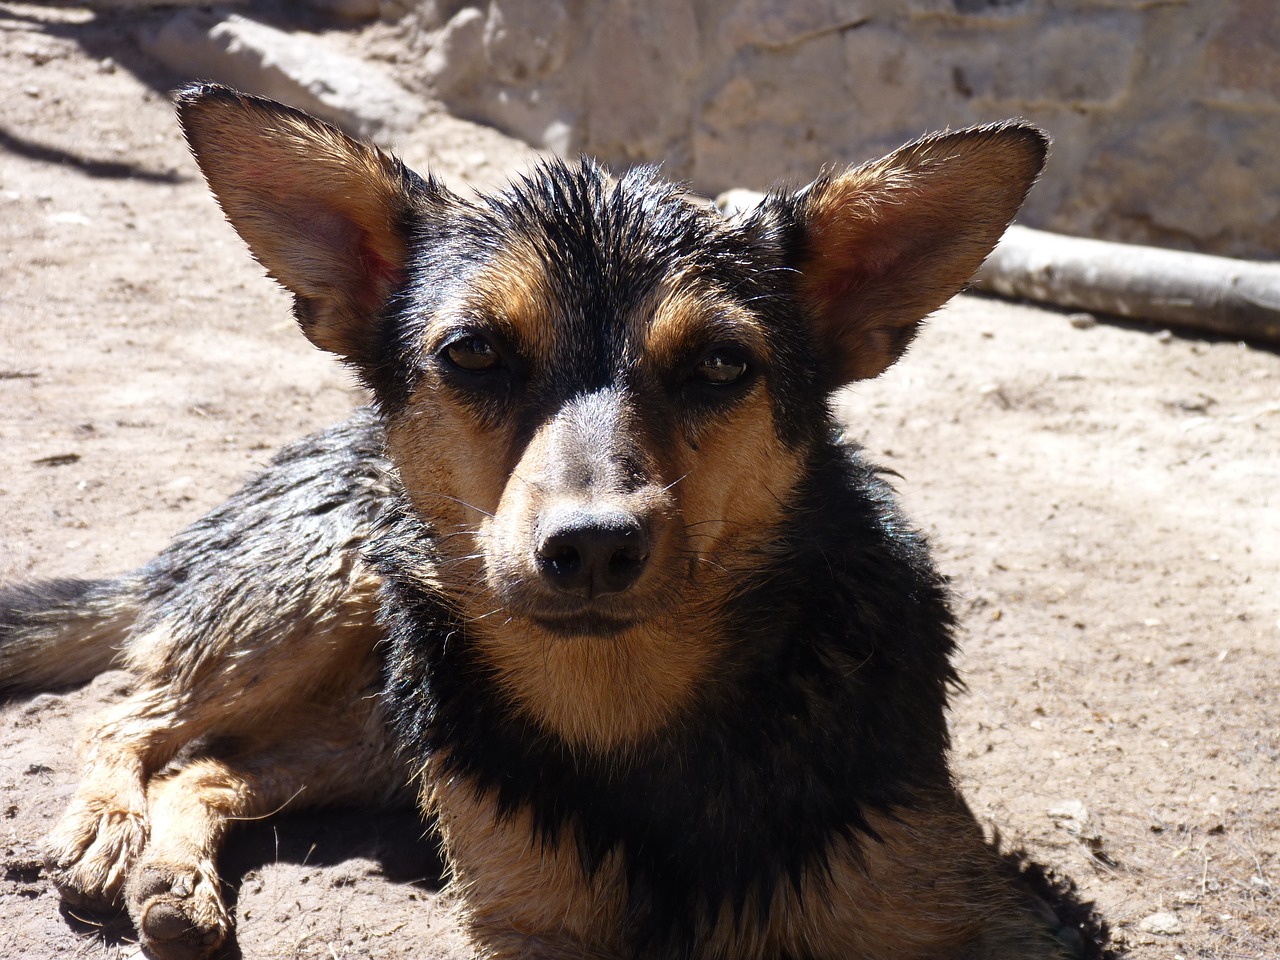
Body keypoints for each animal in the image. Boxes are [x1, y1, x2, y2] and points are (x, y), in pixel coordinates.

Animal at [0, 84, 1080, 960]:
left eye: (721, 364)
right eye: (472, 352)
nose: (592, 547)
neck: (625, 709)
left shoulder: (956, 897)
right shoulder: (525, 918)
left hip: (376, 732)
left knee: (210, 767)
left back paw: (171, 881)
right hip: (316, 605)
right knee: (129, 711)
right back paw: (107, 829)